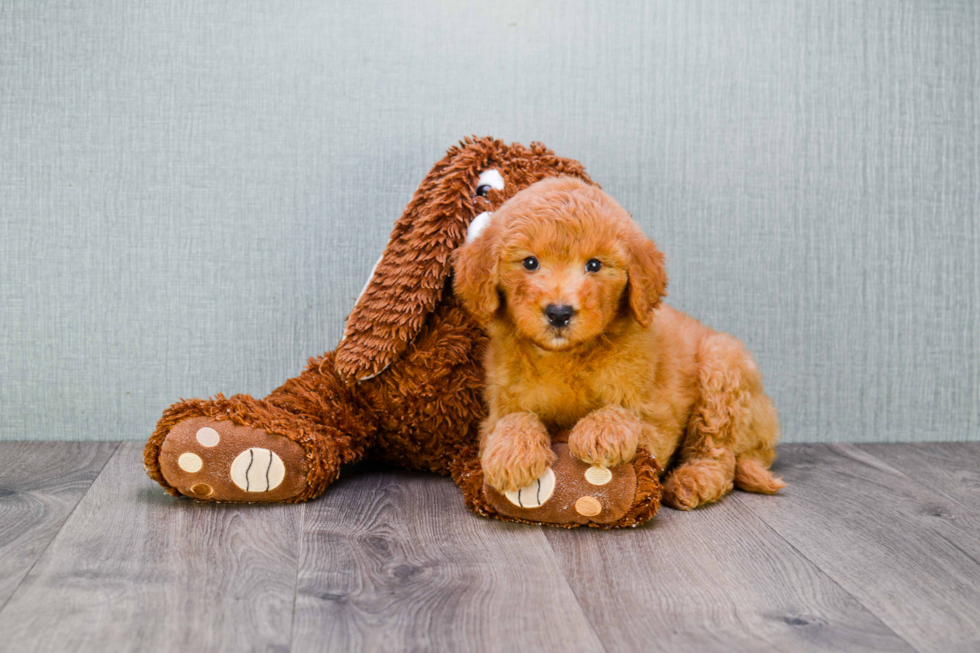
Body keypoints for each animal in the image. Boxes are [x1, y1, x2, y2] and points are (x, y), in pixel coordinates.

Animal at [456, 177, 784, 510]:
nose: (559, 313)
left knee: (719, 453)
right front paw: (512, 453)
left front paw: (601, 431)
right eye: (530, 262)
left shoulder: (658, 419)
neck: (566, 356)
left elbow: (626, 414)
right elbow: (513, 418)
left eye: (594, 265)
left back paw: (693, 480)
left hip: (722, 367)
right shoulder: (498, 405)